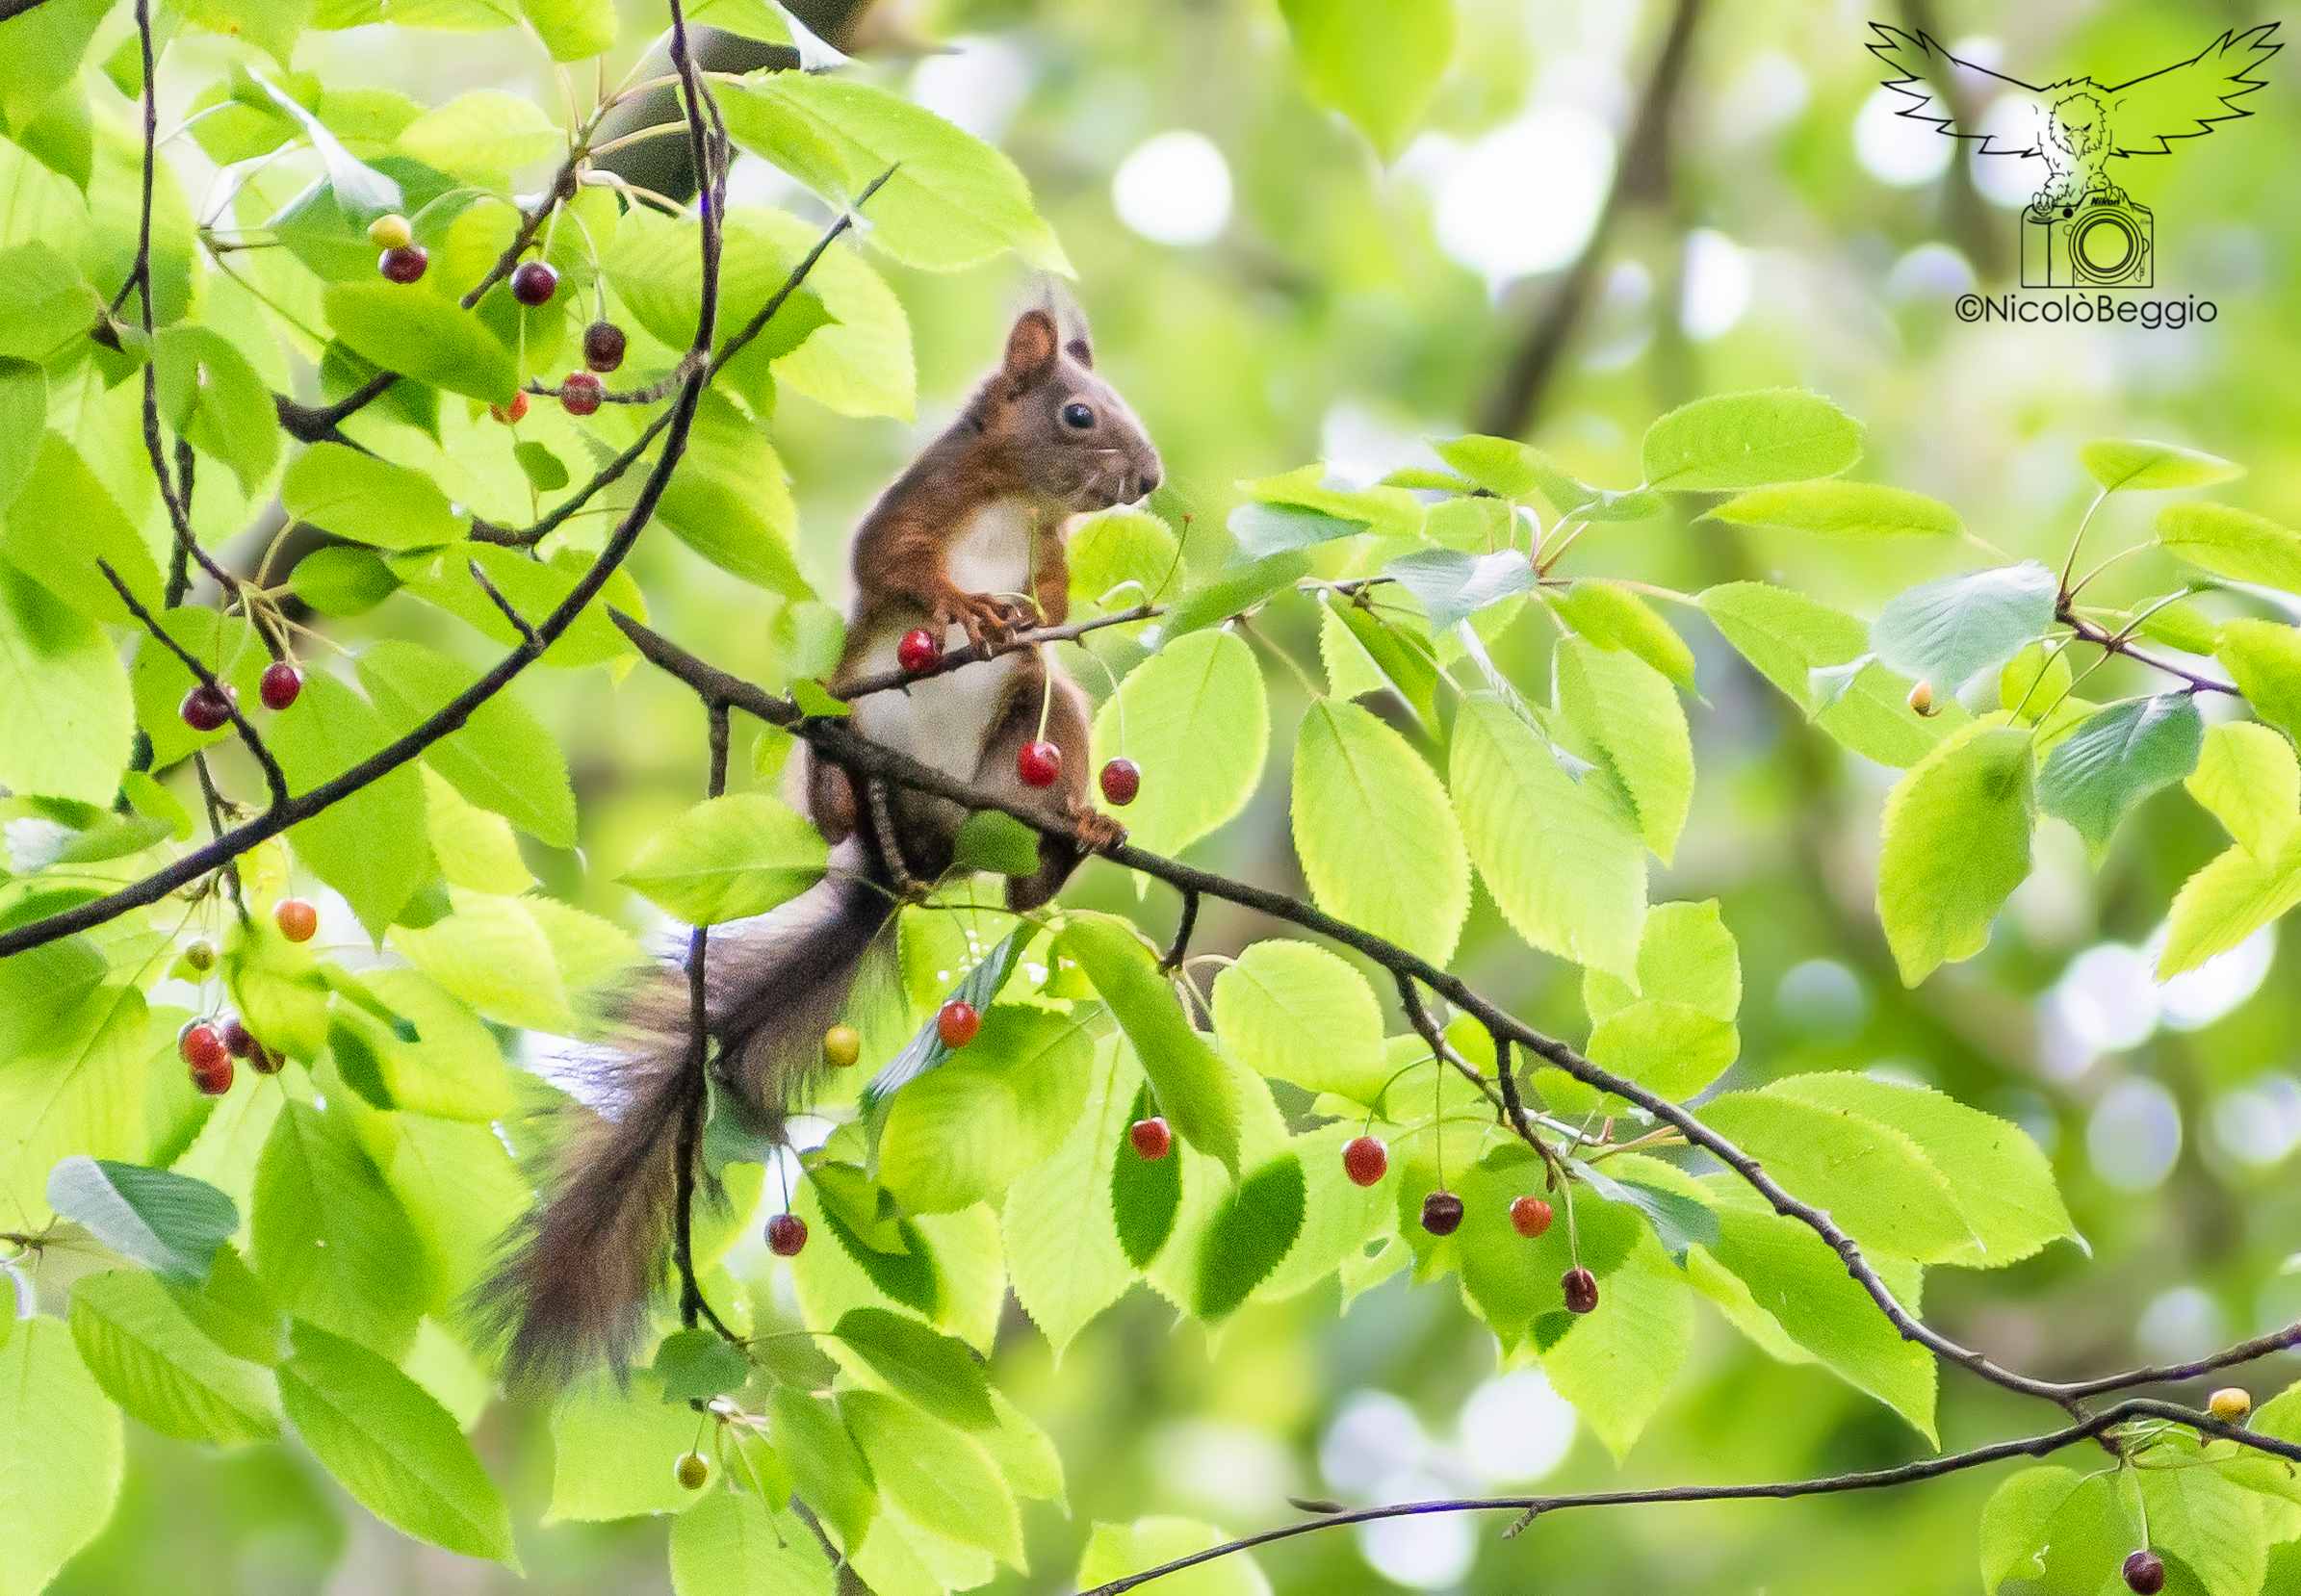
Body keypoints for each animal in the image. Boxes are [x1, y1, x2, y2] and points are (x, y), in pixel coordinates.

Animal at [486, 306, 1163, 1386]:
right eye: (1077, 413)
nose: (1148, 478)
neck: (1012, 497)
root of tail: (917, 858)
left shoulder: (1050, 552)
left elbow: (1053, 614)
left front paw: (1023, 616)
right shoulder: (920, 505)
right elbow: (892, 566)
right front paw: (963, 606)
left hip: (1037, 739)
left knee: (1034, 801)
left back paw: (1076, 836)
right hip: (838, 717)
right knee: (839, 795)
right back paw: (853, 797)